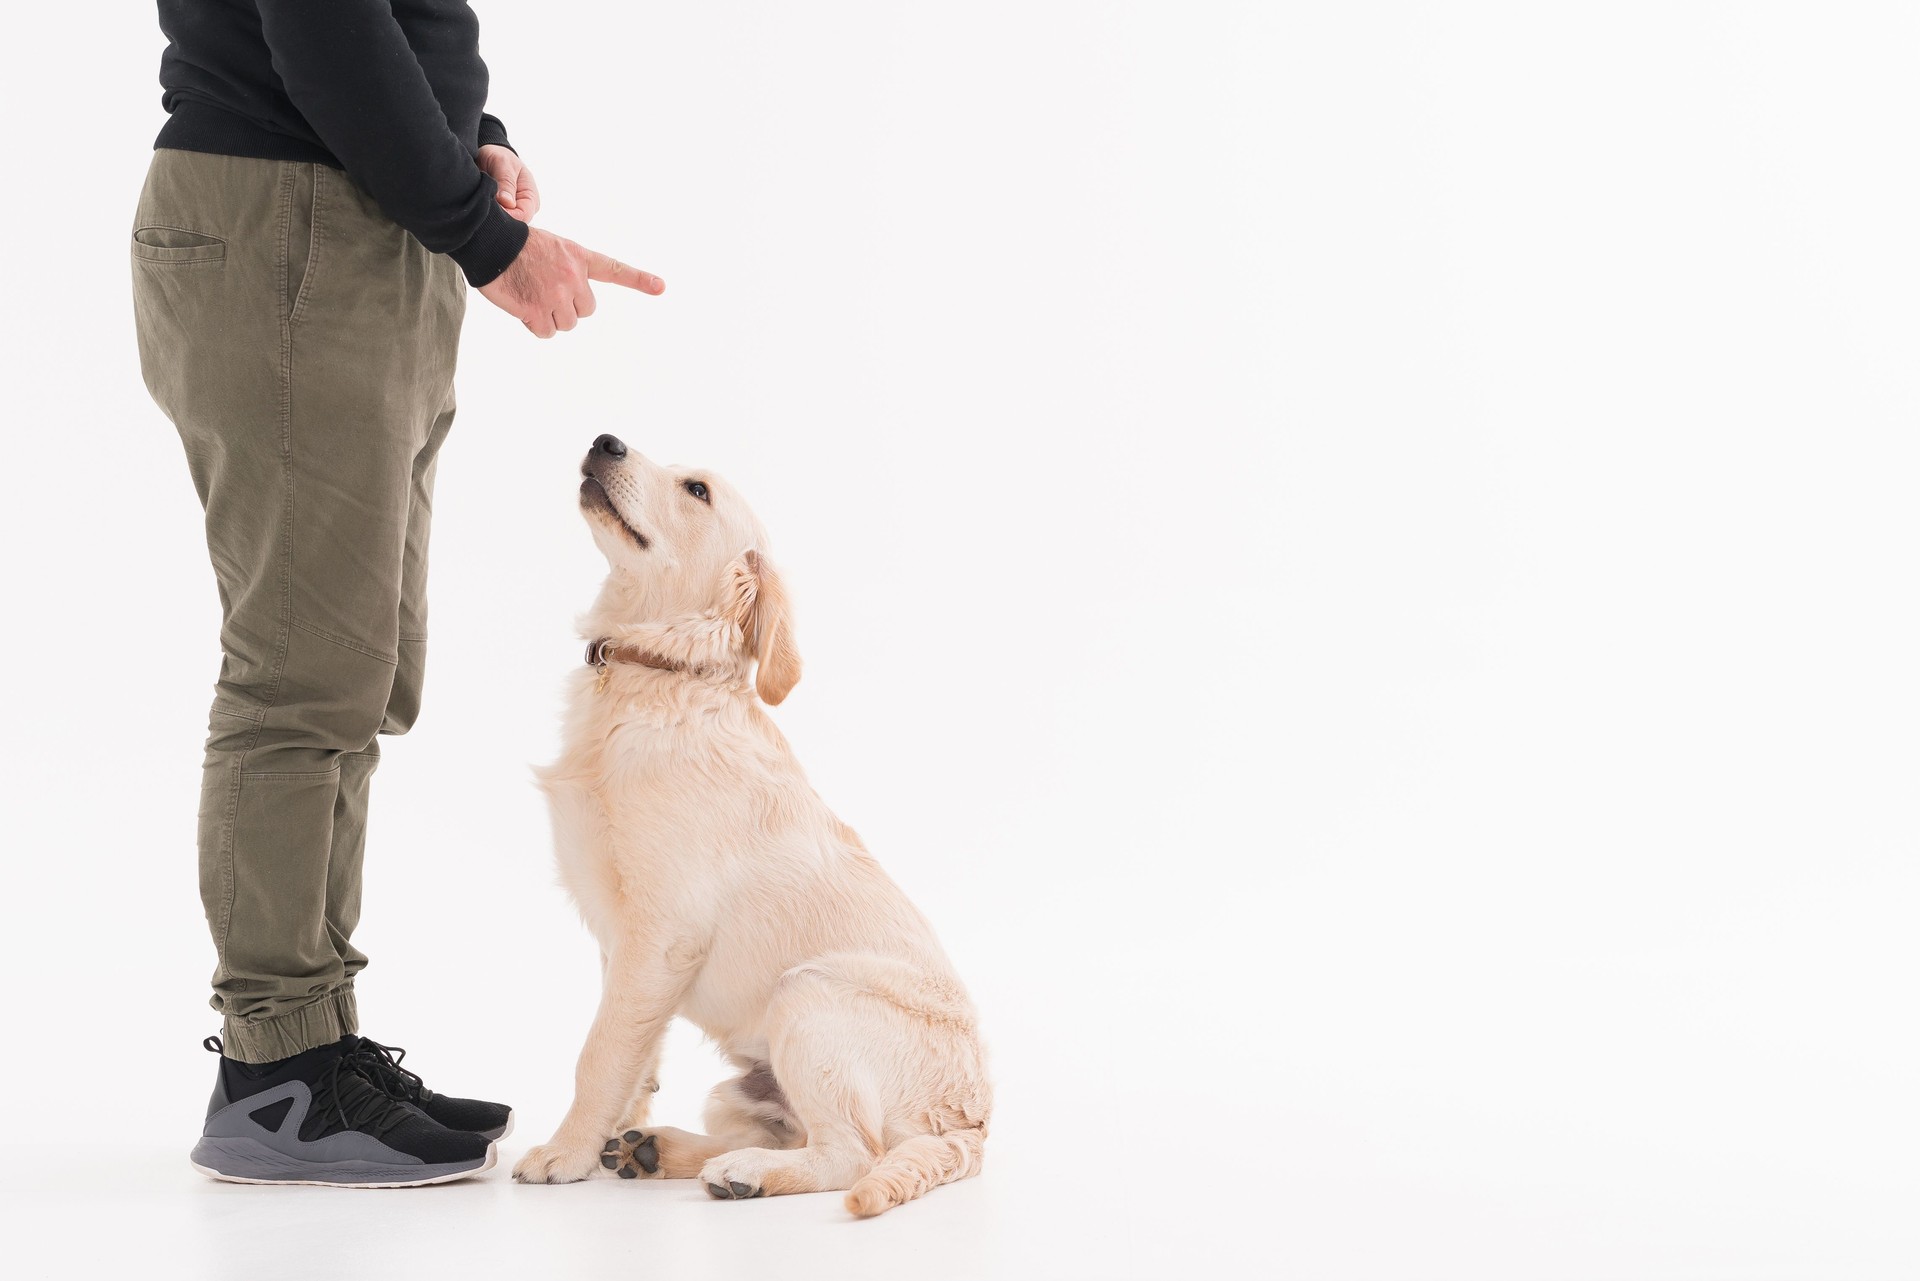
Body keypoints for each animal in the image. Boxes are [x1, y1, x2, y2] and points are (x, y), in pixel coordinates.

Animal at [510, 435, 990, 1221]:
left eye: (696, 490)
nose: (605, 441)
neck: (662, 674)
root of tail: (973, 1125)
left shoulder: (663, 932)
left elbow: (602, 1050)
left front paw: (566, 1152)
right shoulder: (623, 942)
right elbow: (635, 1050)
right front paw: (610, 1135)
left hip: (808, 996)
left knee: (851, 1154)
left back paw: (744, 1173)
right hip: (743, 1086)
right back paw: (657, 1149)